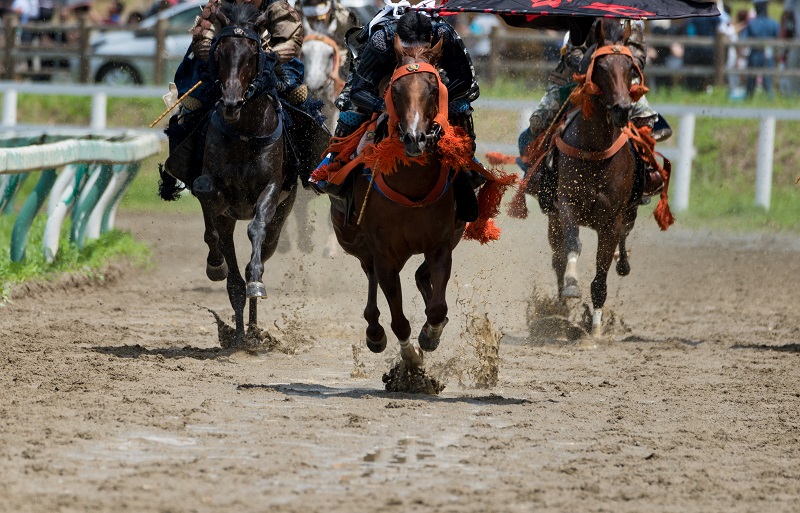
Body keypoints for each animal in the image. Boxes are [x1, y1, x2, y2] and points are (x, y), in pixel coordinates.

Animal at [330, 38, 466, 366]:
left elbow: (438, 308)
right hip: (351, 239)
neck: (411, 186)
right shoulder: (385, 255)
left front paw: (429, 335)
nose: (415, 138)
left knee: (419, 276)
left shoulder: (440, 246)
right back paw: (374, 332)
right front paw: (410, 354)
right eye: (395, 90)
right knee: (369, 274)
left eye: (433, 88)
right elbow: (399, 319)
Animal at [544, 20, 668, 338]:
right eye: (600, 67)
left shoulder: (612, 220)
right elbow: (572, 246)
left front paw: (595, 329)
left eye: (630, 68)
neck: (595, 150)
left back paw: (622, 263)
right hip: (552, 216)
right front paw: (571, 287)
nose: (622, 109)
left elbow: (601, 276)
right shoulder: (567, 205)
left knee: (623, 241)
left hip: (631, 211)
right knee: (557, 256)